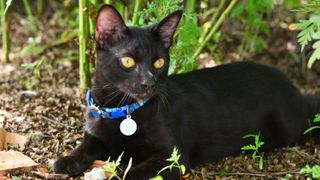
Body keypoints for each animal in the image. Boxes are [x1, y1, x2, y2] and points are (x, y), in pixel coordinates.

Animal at [53, 4, 320, 179]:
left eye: (159, 62)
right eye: (128, 61)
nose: (149, 82)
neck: (121, 110)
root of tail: (290, 85)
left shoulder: (172, 158)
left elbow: (132, 174)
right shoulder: (96, 134)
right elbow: (86, 145)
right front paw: (67, 160)